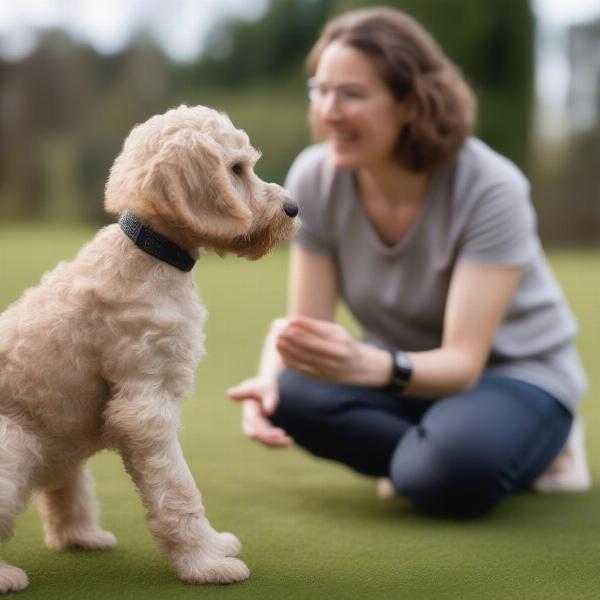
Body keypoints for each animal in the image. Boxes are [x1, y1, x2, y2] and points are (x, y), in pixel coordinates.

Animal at [0, 104, 300, 592]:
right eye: (236, 169)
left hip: (59, 447)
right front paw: (204, 563)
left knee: (67, 492)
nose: (293, 209)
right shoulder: (145, 408)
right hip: (14, 447)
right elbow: (179, 490)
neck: (152, 253)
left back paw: (81, 536)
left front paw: (213, 547)